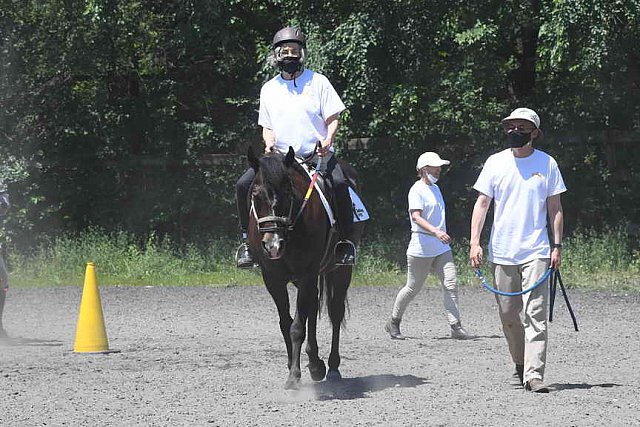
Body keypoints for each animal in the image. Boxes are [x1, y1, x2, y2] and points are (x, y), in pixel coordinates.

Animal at [246, 145, 362, 390]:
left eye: (288, 193)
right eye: (255, 195)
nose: (273, 245)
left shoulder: (307, 272)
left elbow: (297, 327)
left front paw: (294, 376)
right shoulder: (272, 278)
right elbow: (286, 324)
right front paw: (295, 366)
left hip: (340, 270)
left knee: (335, 312)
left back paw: (332, 367)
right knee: (312, 307)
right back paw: (315, 364)